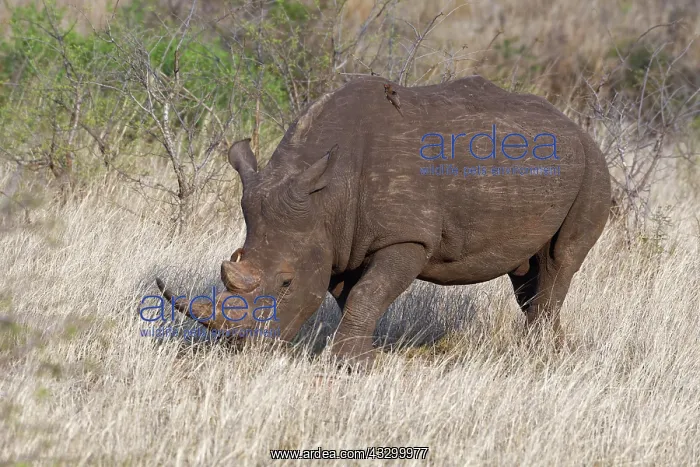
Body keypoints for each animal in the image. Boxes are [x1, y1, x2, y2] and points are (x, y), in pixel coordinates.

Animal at [157, 75, 611, 367]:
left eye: (285, 283)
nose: (241, 350)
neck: (327, 198)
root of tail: (574, 126)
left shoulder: (406, 237)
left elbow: (368, 292)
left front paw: (348, 365)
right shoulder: (338, 243)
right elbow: (352, 295)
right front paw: (363, 357)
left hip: (594, 166)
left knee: (560, 261)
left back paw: (539, 356)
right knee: (526, 274)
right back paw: (551, 349)